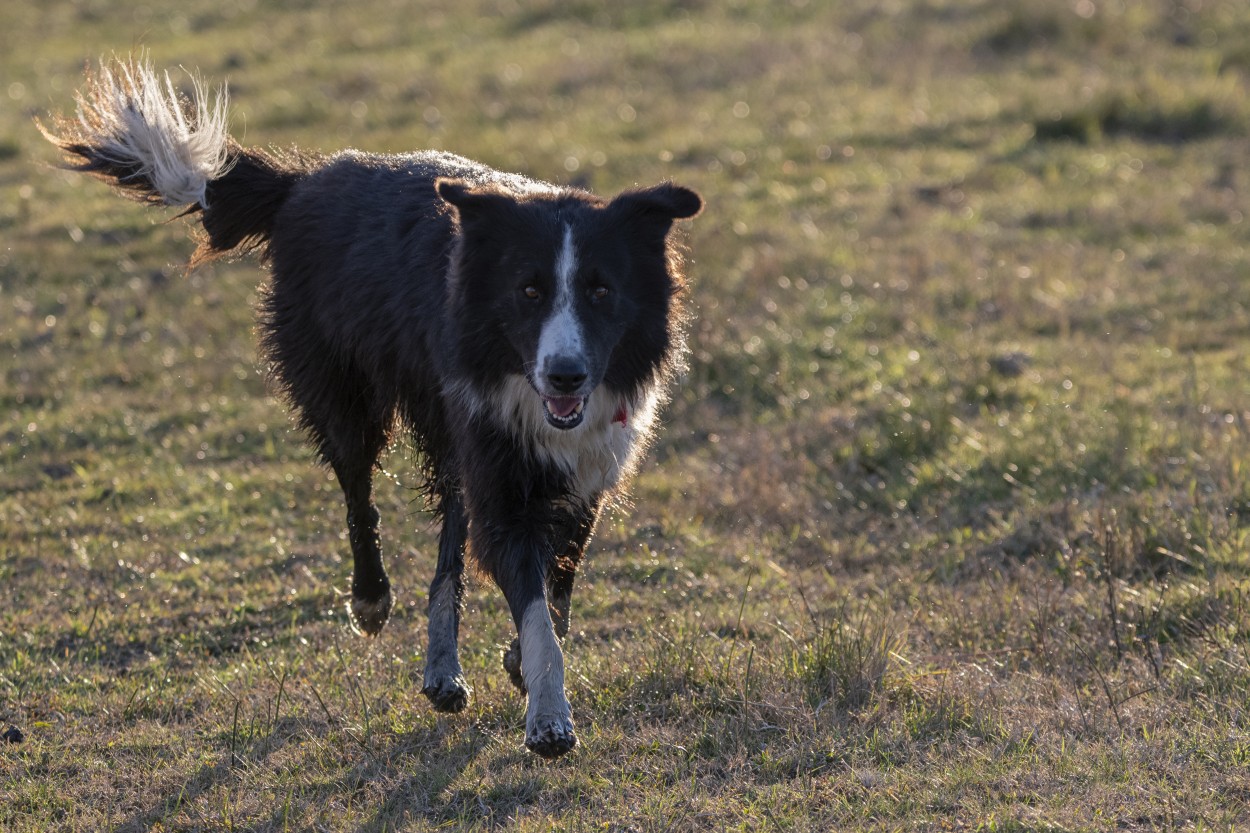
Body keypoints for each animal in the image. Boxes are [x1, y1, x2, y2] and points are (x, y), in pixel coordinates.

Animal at [41, 58, 705, 755]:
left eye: (601, 291)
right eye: (529, 292)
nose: (565, 374)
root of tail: (303, 182)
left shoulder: (585, 467)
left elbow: (557, 587)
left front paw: (520, 664)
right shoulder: (496, 454)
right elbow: (532, 601)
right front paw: (548, 719)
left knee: (450, 537)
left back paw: (442, 672)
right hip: (344, 390)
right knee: (359, 494)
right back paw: (371, 599)